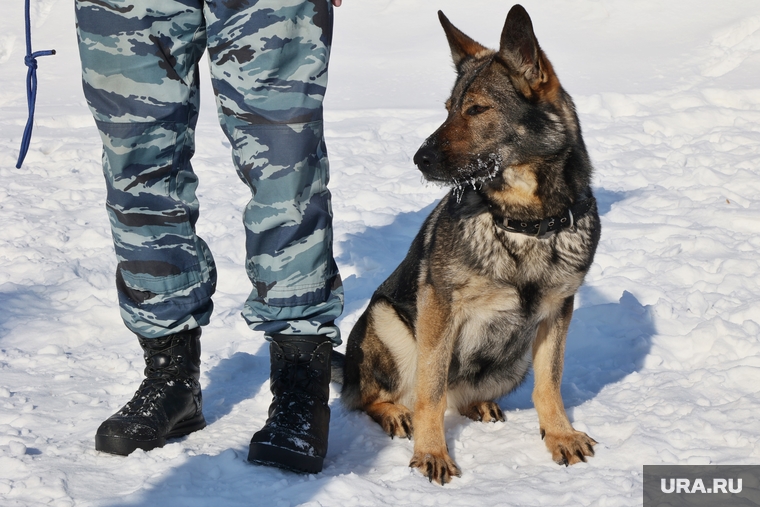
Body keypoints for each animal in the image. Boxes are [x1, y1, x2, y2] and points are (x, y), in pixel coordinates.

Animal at [332, 5, 600, 486]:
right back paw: (395, 413)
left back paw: (478, 404)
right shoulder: (439, 307)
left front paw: (559, 435)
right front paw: (431, 451)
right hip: (388, 322)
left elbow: (549, 385)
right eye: (448, 109)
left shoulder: (557, 312)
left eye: (477, 109)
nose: (418, 159)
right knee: (376, 396)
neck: (524, 223)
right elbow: (430, 393)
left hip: (514, 358)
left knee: (460, 396)